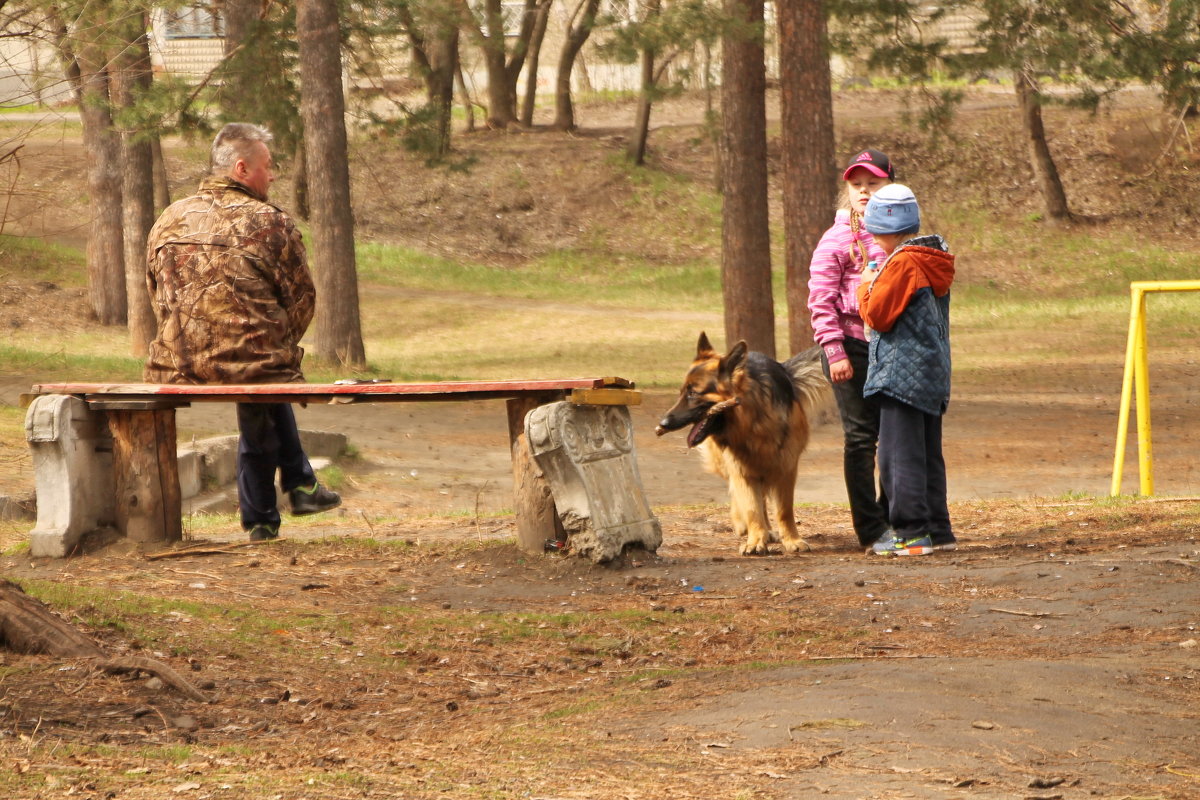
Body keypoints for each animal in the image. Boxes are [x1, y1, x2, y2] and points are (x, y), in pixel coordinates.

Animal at [652, 331, 830, 556]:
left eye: (693, 393)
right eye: (682, 392)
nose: (662, 423)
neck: (753, 422)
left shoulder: (786, 468)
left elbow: (784, 510)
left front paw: (791, 540)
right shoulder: (741, 468)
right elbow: (751, 508)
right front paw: (755, 540)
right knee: (741, 494)